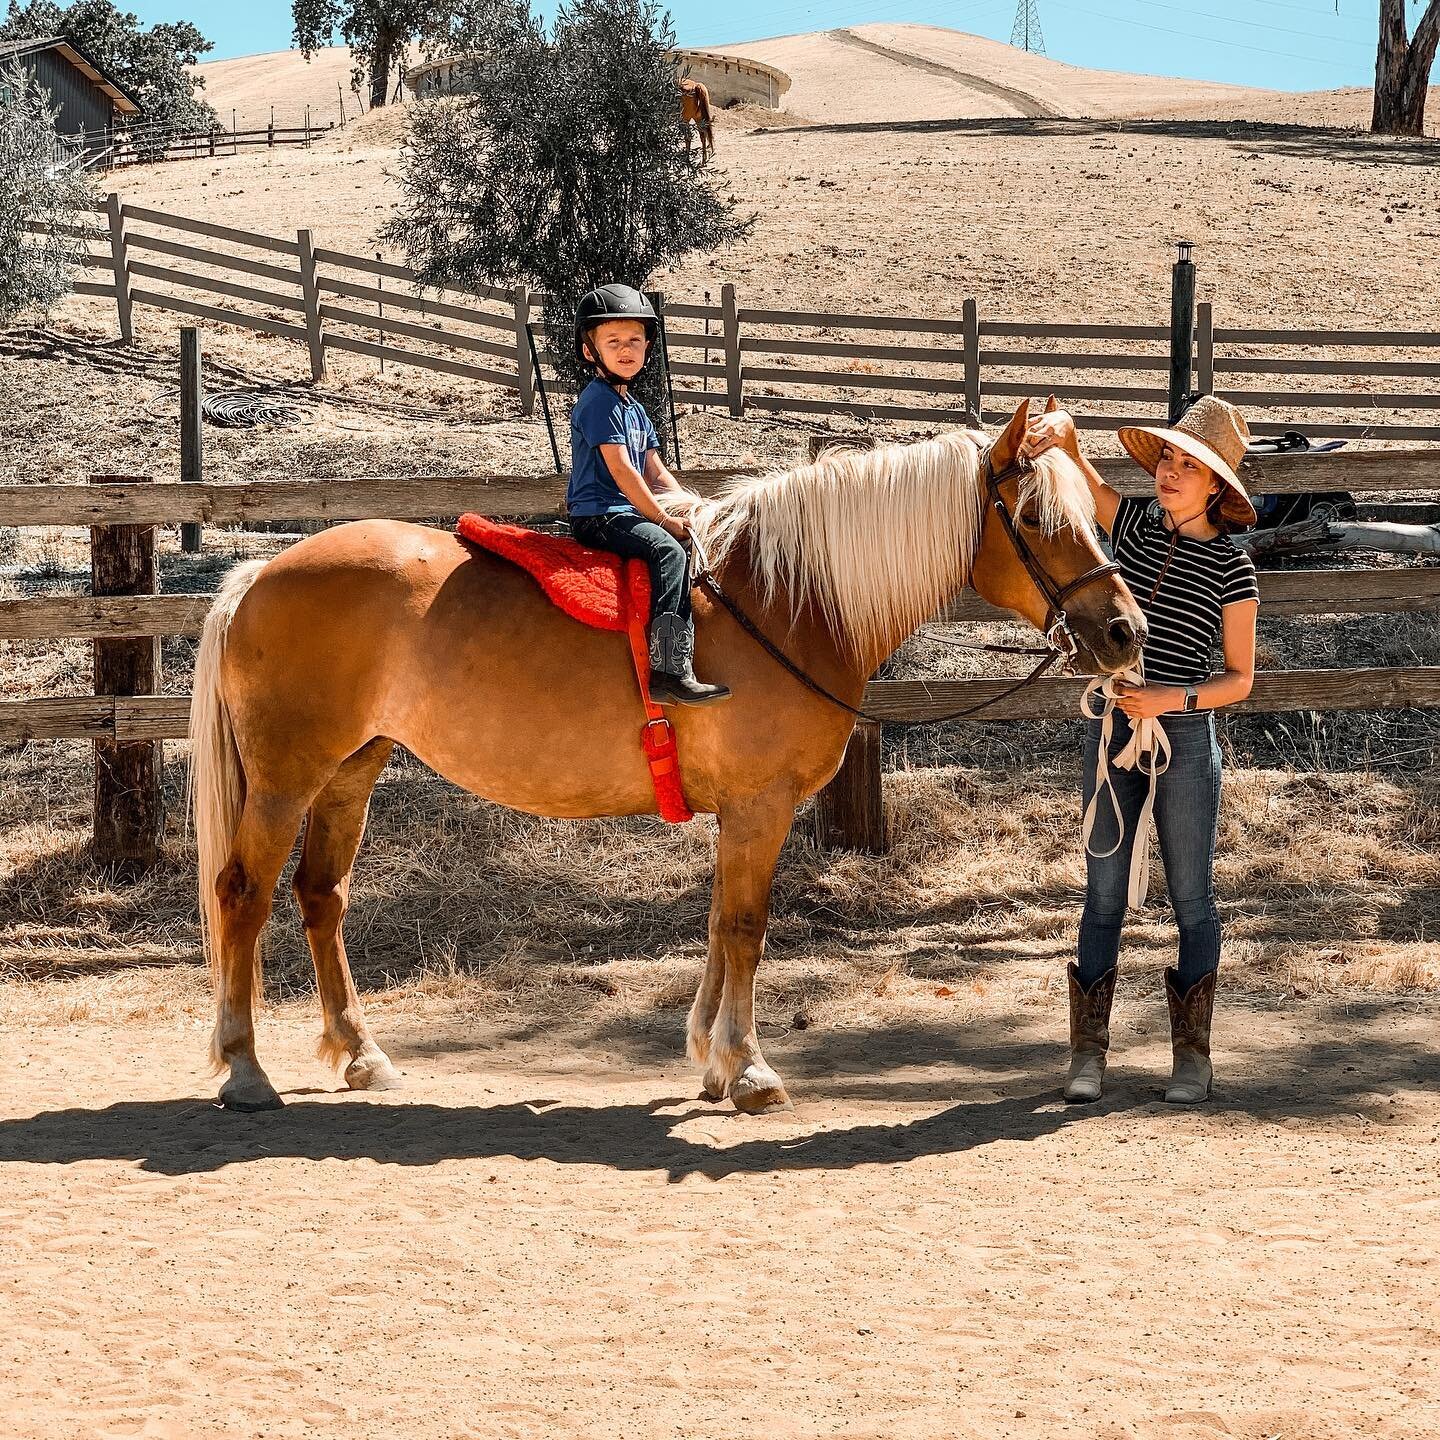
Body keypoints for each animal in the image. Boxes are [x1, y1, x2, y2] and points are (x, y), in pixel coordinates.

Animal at [189, 400, 1146, 1115]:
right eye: (1036, 518)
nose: (1124, 633)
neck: (785, 601)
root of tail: (257, 575)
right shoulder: (761, 807)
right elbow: (746, 927)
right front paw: (750, 1068)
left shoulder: (742, 814)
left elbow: (720, 925)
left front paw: (711, 1059)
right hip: (285, 779)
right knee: (243, 893)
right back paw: (245, 1068)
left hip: (351, 771)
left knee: (322, 896)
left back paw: (363, 1055)